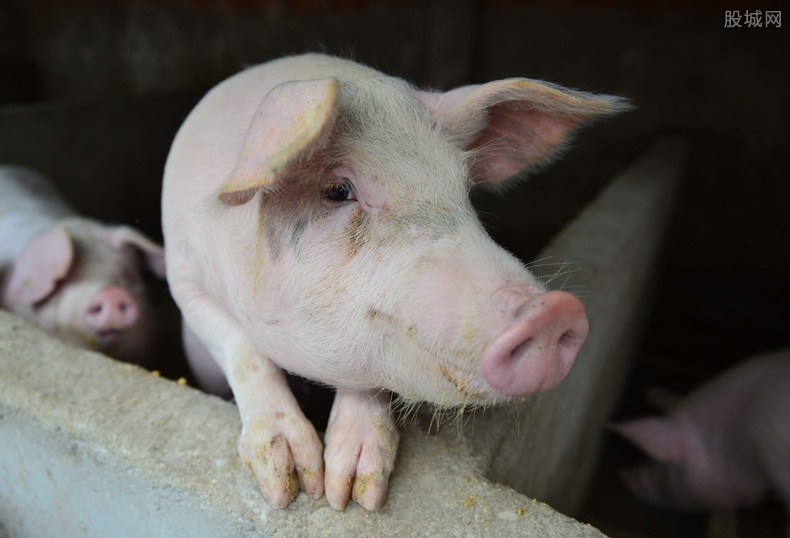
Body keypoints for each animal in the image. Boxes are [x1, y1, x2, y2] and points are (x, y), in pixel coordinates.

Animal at [164, 53, 636, 510]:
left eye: (464, 191)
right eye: (338, 190)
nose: (553, 311)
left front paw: (353, 495)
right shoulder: (182, 277)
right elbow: (241, 348)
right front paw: (295, 487)